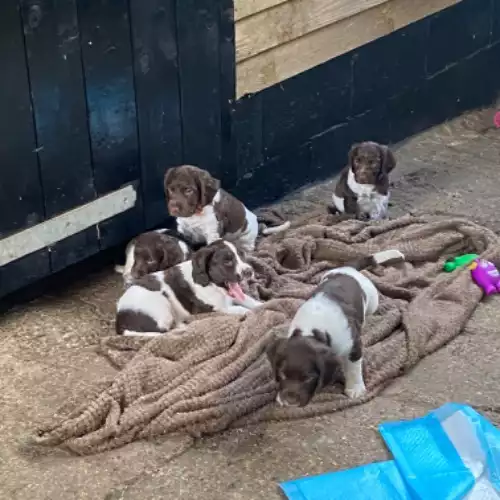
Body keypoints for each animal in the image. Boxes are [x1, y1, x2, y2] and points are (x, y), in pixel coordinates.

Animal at [268, 248, 404, 408]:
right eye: (282, 374)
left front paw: (355, 388)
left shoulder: (353, 346)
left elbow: (353, 368)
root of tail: (348, 268)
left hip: (372, 300)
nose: (289, 403)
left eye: (308, 378)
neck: (313, 329)